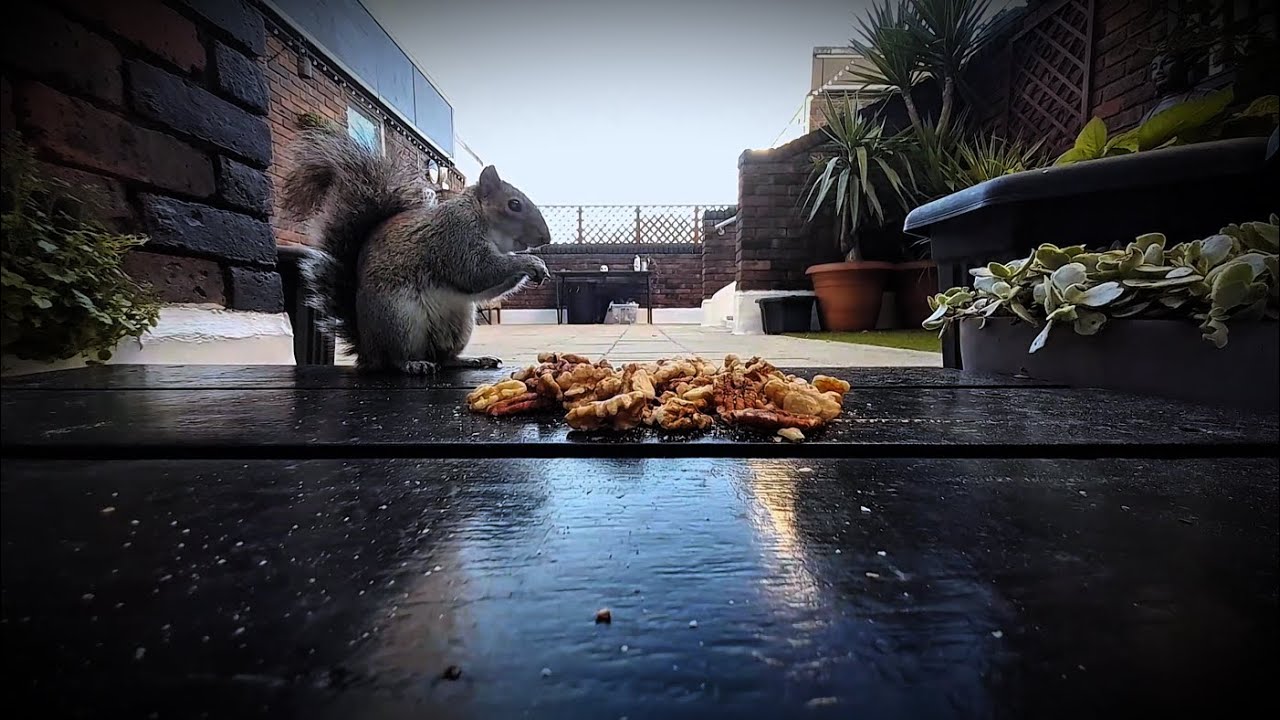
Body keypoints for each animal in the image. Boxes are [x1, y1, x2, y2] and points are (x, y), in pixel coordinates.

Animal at [281, 131, 552, 374]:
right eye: (514, 204)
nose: (545, 239)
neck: (480, 217)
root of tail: (367, 350)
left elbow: (483, 288)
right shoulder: (456, 236)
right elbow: (476, 271)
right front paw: (531, 262)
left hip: (459, 322)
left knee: (444, 358)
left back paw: (470, 360)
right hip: (398, 319)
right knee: (395, 358)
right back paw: (412, 364)